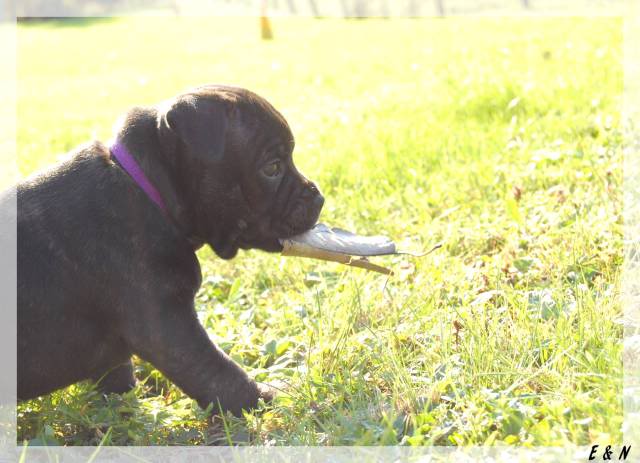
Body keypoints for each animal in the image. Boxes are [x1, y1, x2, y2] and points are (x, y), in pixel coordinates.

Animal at [15, 86, 324, 416]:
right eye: (273, 168)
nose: (319, 197)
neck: (148, 187)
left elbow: (117, 372)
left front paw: (121, 408)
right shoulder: (168, 325)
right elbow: (219, 373)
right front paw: (266, 402)